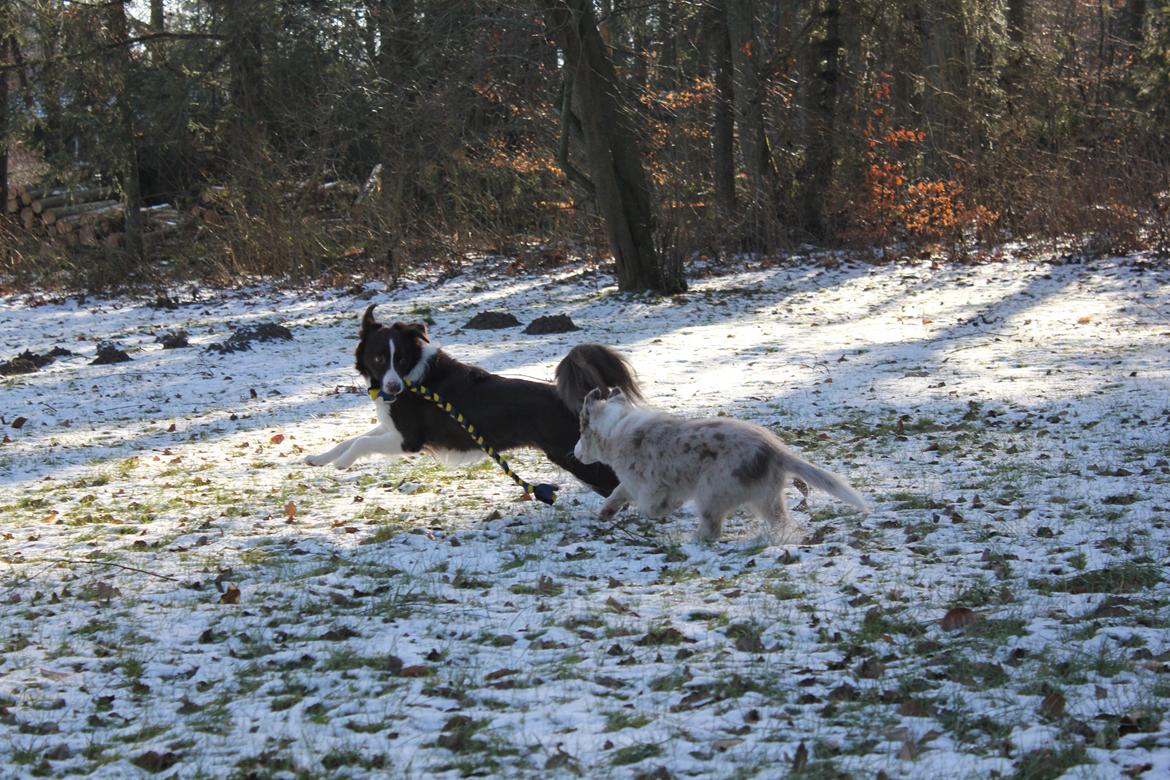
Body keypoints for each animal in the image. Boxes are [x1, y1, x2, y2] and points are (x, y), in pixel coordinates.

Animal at [304, 304, 641, 493]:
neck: (414, 376)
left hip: (573, 456)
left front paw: (343, 463)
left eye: (399, 359)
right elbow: (350, 439)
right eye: (377, 358)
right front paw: (319, 458)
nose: (394, 388)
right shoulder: (392, 427)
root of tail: (584, 402)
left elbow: (360, 442)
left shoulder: (409, 439)